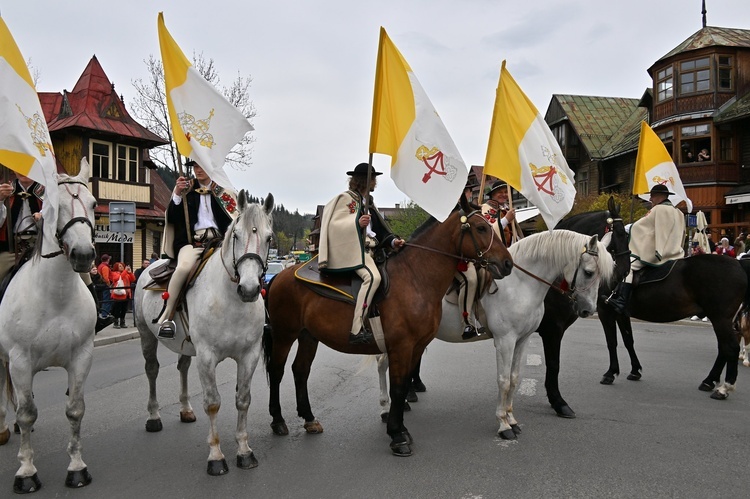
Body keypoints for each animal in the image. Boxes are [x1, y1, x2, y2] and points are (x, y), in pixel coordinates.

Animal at [0, 159, 97, 492]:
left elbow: (76, 410)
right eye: (54, 205)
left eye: (94, 203)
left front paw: (77, 468)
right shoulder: (19, 361)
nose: (83, 255)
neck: (55, 296)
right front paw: (26, 472)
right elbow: (27, 413)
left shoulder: (81, 357)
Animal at [134, 191, 274, 476]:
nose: (250, 289)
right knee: (152, 370)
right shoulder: (208, 357)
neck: (230, 300)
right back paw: (153, 416)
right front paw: (216, 456)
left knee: (182, 367)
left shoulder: (249, 355)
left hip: (186, 345)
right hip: (146, 335)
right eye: (236, 235)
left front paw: (244, 451)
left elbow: (243, 399)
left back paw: (185, 409)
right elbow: (212, 403)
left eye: (269, 238)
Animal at [262, 195, 516, 458]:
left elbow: (404, 386)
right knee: (277, 371)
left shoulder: (416, 346)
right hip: (284, 334)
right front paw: (397, 435)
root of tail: (280, 277)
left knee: (300, 371)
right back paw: (278, 420)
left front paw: (401, 428)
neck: (415, 277)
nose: (508, 263)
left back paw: (309, 418)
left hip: (308, 336)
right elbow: (397, 388)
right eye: (481, 227)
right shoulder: (401, 347)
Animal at [378, 229, 612, 438]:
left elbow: (515, 378)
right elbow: (504, 380)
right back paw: (386, 409)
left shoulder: (523, 339)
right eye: (589, 272)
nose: (589, 310)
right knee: (383, 365)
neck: (520, 283)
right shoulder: (506, 340)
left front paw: (512, 419)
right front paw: (503, 424)